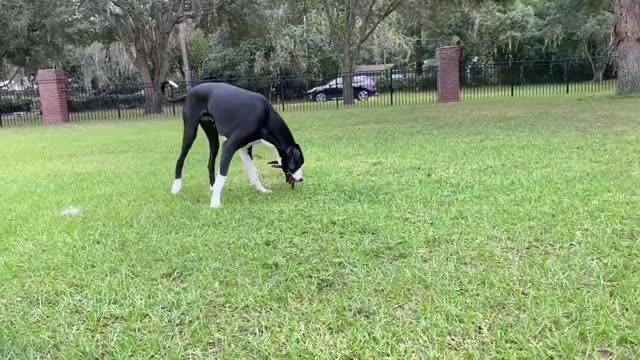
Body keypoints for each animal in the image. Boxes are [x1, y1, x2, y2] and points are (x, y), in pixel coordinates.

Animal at [164, 80, 306, 207]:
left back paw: (212, 187)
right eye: (299, 163)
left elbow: (253, 172)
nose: (301, 179)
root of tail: (189, 93)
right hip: (190, 133)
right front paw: (215, 203)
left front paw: (262, 190)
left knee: (210, 163)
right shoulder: (229, 146)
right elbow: (223, 175)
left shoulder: (245, 150)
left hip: (213, 138)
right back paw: (176, 188)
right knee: (180, 160)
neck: (265, 116)